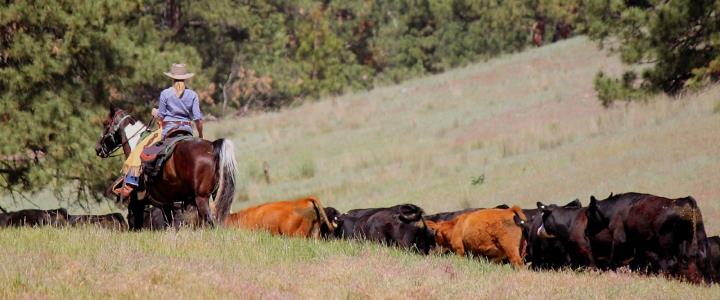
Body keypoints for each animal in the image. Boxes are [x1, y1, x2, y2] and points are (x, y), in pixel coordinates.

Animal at [94, 108, 236, 230]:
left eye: (106, 124)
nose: (97, 148)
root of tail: (212, 146)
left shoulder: (138, 201)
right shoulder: (168, 203)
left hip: (201, 198)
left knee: (210, 222)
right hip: (212, 196)